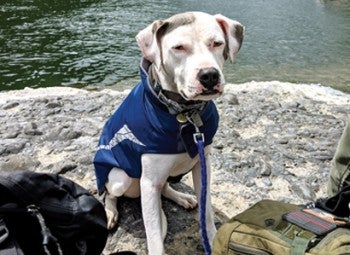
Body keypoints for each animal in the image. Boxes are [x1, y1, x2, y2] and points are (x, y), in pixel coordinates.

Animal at [93, 11, 243, 253]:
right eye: (179, 47)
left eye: (217, 43)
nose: (209, 75)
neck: (185, 113)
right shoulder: (148, 182)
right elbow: (154, 235)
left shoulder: (203, 166)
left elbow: (207, 211)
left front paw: (212, 240)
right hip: (120, 178)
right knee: (109, 193)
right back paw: (110, 211)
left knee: (165, 187)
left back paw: (182, 197)